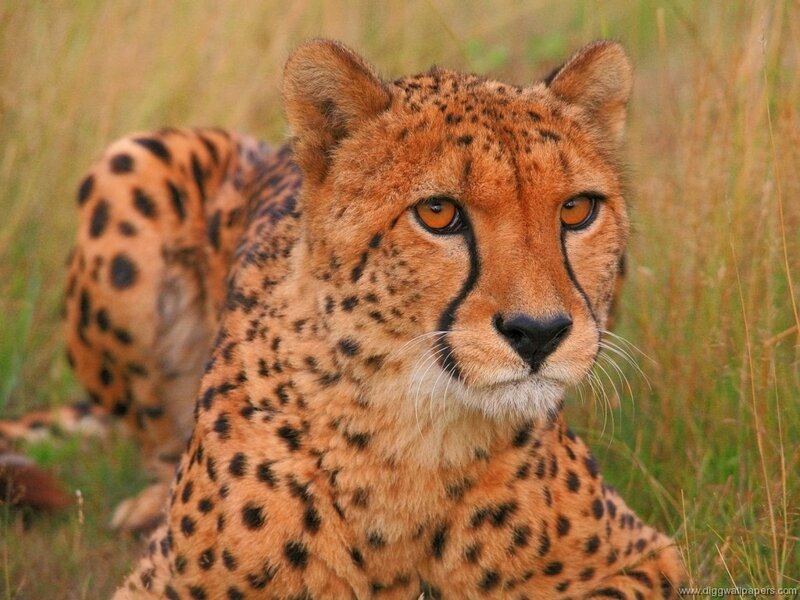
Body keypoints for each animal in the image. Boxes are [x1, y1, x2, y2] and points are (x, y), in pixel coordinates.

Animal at [36, 38, 690, 597]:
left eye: (577, 209)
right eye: (438, 212)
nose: (540, 332)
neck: (413, 430)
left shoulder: (646, 556)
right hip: (128, 165)